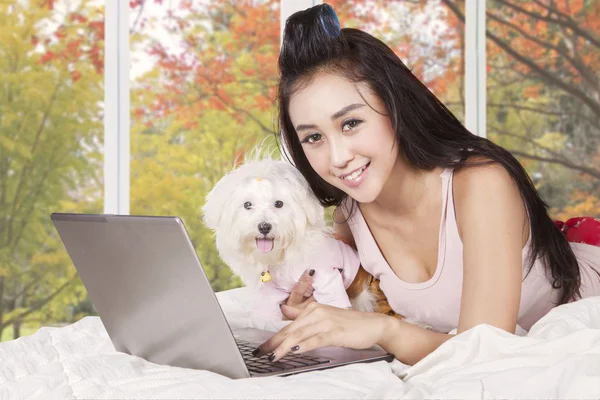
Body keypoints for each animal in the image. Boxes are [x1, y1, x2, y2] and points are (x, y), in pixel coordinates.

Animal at [204, 158, 378, 320]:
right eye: (247, 205)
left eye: (278, 203)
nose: (264, 227)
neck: (282, 256)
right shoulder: (271, 290)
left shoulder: (327, 276)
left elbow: (334, 307)